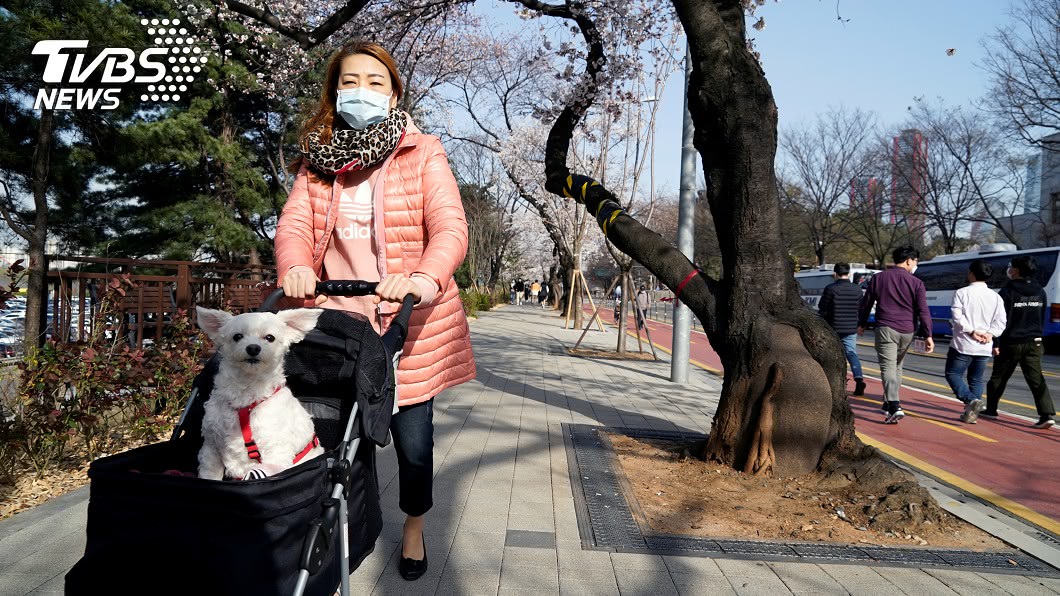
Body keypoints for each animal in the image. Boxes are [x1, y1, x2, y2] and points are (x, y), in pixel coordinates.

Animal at [196, 305, 324, 477]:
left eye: (270, 338)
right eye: (237, 336)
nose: (253, 347)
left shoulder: (275, 454)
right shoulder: (211, 447)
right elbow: (209, 475)